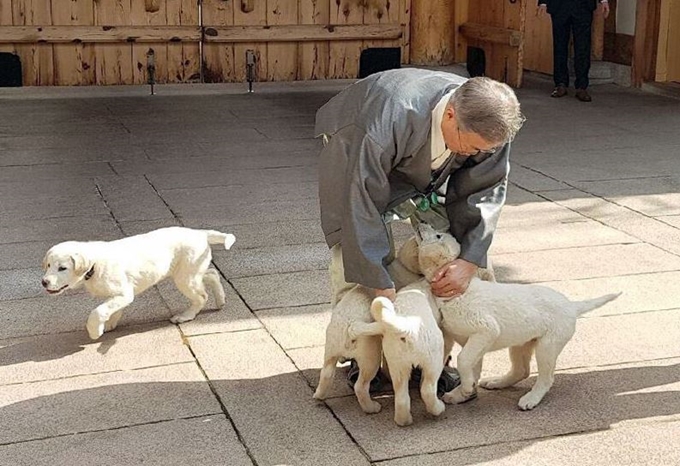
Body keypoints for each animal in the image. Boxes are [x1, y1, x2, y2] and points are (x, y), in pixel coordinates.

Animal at [41, 226, 236, 338]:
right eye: (49, 265)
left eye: (62, 268)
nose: (44, 282)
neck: (93, 266)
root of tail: (200, 233)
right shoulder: (119, 295)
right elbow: (112, 309)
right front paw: (109, 324)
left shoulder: (124, 293)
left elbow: (98, 311)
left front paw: (95, 331)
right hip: (190, 272)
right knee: (212, 274)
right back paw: (221, 300)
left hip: (185, 277)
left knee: (201, 296)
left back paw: (185, 316)